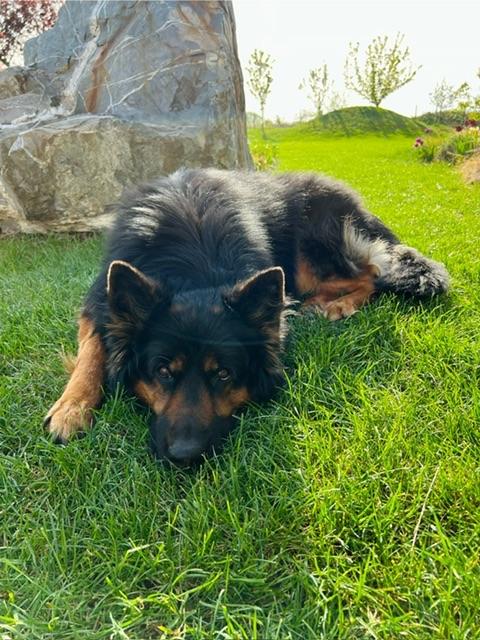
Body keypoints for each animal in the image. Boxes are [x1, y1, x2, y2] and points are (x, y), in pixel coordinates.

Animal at [44, 169, 449, 462]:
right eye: (162, 372)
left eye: (224, 374)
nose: (184, 457)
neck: (193, 264)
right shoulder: (99, 302)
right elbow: (92, 351)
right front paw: (71, 407)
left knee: (373, 273)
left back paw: (330, 305)